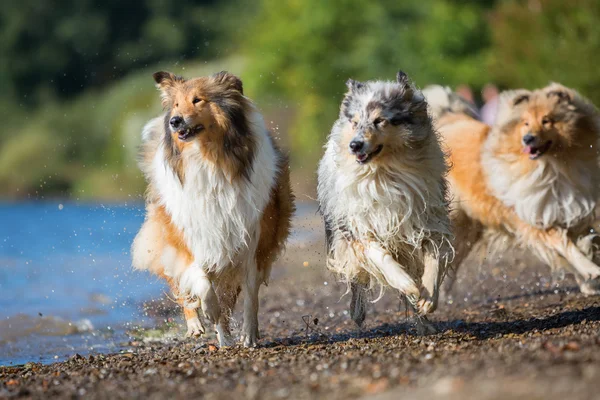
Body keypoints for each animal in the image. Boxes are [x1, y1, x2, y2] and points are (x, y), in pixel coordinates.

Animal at [131, 70, 292, 346]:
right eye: (176, 104)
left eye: (198, 100)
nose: (174, 121)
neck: (209, 160)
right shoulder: (193, 238)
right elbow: (201, 282)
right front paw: (209, 311)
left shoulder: (252, 241)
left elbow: (250, 296)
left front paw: (248, 334)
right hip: (169, 238)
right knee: (183, 289)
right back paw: (199, 325)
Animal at [318, 72, 450, 328]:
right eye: (355, 122)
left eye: (380, 120)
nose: (355, 145)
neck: (384, 174)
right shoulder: (359, 226)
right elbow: (380, 256)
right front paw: (407, 283)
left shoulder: (428, 220)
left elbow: (434, 258)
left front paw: (427, 298)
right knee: (357, 278)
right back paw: (358, 312)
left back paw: (423, 323)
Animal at [424, 83, 596, 294]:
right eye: (525, 123)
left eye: (546, 120)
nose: (528, 139)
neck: (552, 168)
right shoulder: (534, 220)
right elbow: (566, 245)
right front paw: (592, 270)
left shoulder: (573, 215)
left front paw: (589, 284)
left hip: (469, 226)